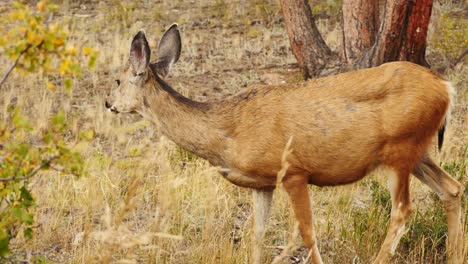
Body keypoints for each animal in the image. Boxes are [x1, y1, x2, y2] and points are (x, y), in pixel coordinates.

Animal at [105, 23, 464, 262]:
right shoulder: (262, 183)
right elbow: (257, 235)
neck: (227, 132)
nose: (108, 103)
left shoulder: (294, 171)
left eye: (118, 80)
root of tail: (446, 88)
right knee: (452, 188)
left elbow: (306, 233)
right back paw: (454, 255)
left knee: (403, 210)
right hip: (417, 151)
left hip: (400, 149)